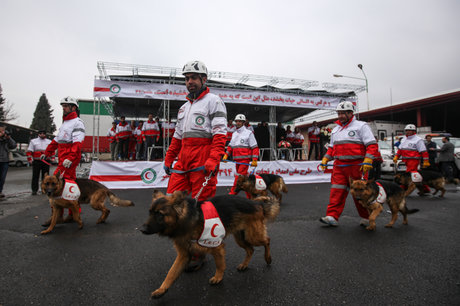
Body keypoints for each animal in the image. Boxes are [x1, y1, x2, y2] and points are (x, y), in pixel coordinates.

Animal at [139, 190, 280, 298]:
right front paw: (161, 289)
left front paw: (218, 277)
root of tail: (256, 203)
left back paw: (268, 258)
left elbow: (220, 264)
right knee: (250, 250)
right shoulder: (183, 255)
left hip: (252, 236)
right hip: (240, 238)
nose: (141, 229)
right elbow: (171, 273)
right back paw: (244, 265)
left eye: (160, 214)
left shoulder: (216, 246)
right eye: (150, 212)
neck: (187, 220)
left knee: (267, 240)